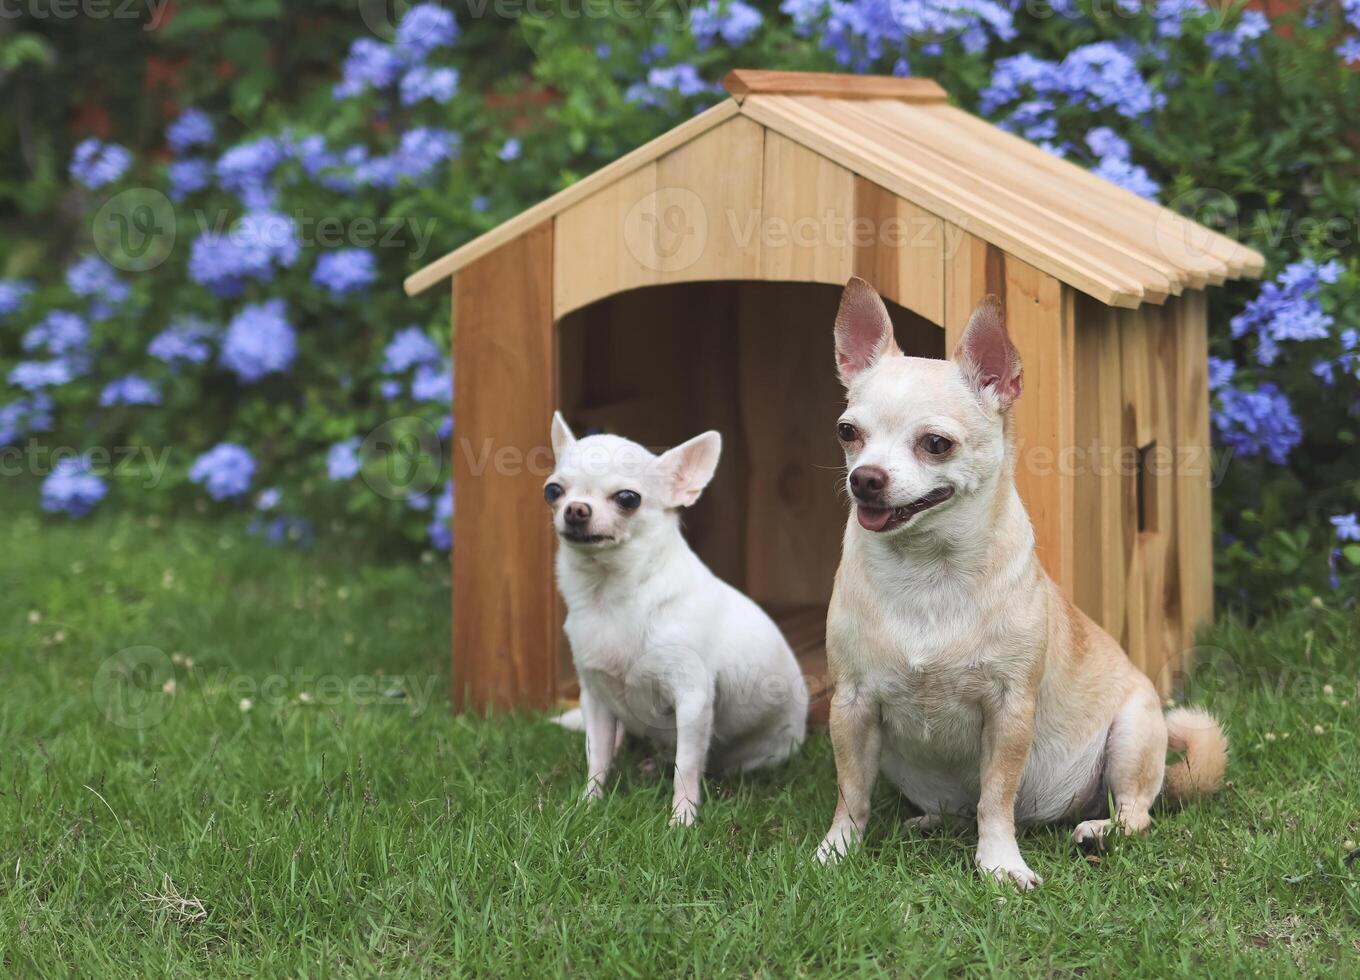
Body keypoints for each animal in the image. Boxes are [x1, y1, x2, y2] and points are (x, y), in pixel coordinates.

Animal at [546, 413, 805, 826]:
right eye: (553, 491)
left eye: (628, 498)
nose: (575, 509)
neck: (612, 596)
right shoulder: (596, 698)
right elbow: (596, 756)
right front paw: (588, 805)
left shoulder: (693, 700)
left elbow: (687, 766)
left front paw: (681, 822)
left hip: (764, 752)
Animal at [816, 274, 1234, 886]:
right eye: (848, 432)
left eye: (935, 443)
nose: (864, 478)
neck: (928, 570)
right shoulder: (851, 704)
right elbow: (852, 792)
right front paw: (837, 850)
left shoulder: (1009, 711)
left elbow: (997, 796)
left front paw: (1000, 865)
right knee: (953, 808)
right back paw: (929, 822)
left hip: (1132, 733)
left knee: (1136, 812)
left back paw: (1100, 830)